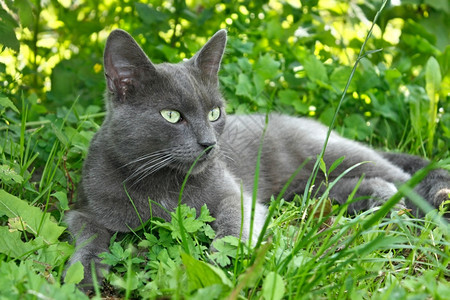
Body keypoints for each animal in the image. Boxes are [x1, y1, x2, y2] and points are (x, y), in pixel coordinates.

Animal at [64, 29, 450, 290]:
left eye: (214, 112)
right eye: (172, 116)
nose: (209, 144)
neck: (163, 185)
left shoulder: (235, 194)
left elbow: (233, 220)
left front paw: (223, 261)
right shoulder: (84, 206)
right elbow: (87, 234)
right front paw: (81, 275)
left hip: (332, 153)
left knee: (401, 177)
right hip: (304, 189)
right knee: (357, 186)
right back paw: (377, 201)